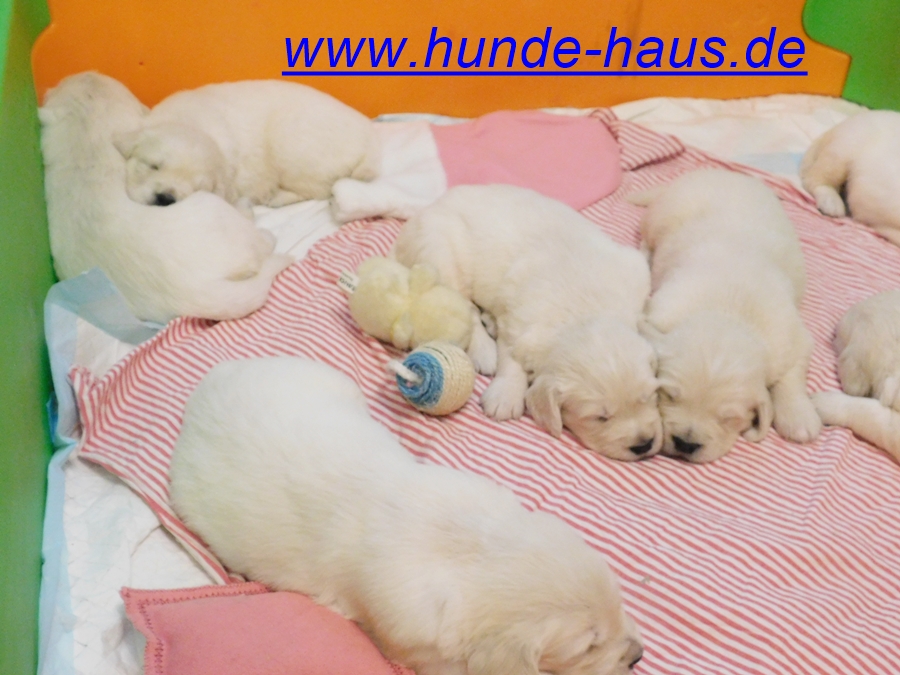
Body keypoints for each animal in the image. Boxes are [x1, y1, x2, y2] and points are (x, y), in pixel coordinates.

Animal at [40, 72, 291, 323]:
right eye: (153, 166)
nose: (165, 198)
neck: (86, 132)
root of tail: (195, 293)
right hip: (215, 210)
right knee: (260, 242)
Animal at [114, 80, 380, 209]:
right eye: (153, 166)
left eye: (198, 189)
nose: (165, 199)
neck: (191, 123)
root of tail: (368, 135)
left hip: (292, 148)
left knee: (320, 189)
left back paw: (277, 197)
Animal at [169, 357, 644, 675]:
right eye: (586, 647)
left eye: (619, 601)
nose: (638, 656)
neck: (476, 550)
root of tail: (209, 384)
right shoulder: (415, 641)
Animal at [392, 184, 661, 462]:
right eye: (600, 417)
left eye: (650, 397)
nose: (644, 444)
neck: (586, 314)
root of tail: (430, 207)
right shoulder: (520, 323)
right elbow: (512, 359)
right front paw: (505, 396)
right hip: (440, 255)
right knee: (465, 308)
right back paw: (484, 350)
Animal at [631, 169, 822, 463]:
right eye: (670, 396)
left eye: (729, 418)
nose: (685, 443)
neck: (728, 313)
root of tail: (713, 171)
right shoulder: (662, 311)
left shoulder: (791, 340)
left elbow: (791, 376)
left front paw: (798, 417)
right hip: (660, 218)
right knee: (647, 239)